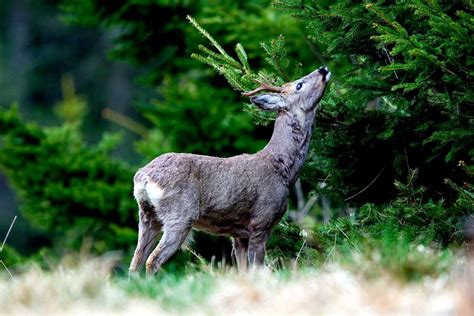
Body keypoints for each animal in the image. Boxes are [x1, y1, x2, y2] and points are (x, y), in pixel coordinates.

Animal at [130, 66, 330, 274]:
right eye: (299, 85)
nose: (323, 69)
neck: (282, 168)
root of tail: (143, 177)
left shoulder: (239, 234)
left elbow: (243, 270)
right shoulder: (261, 221)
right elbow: (257, 267)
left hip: (147, 216)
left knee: (135, 261)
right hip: (180, 214)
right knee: (152, 260)